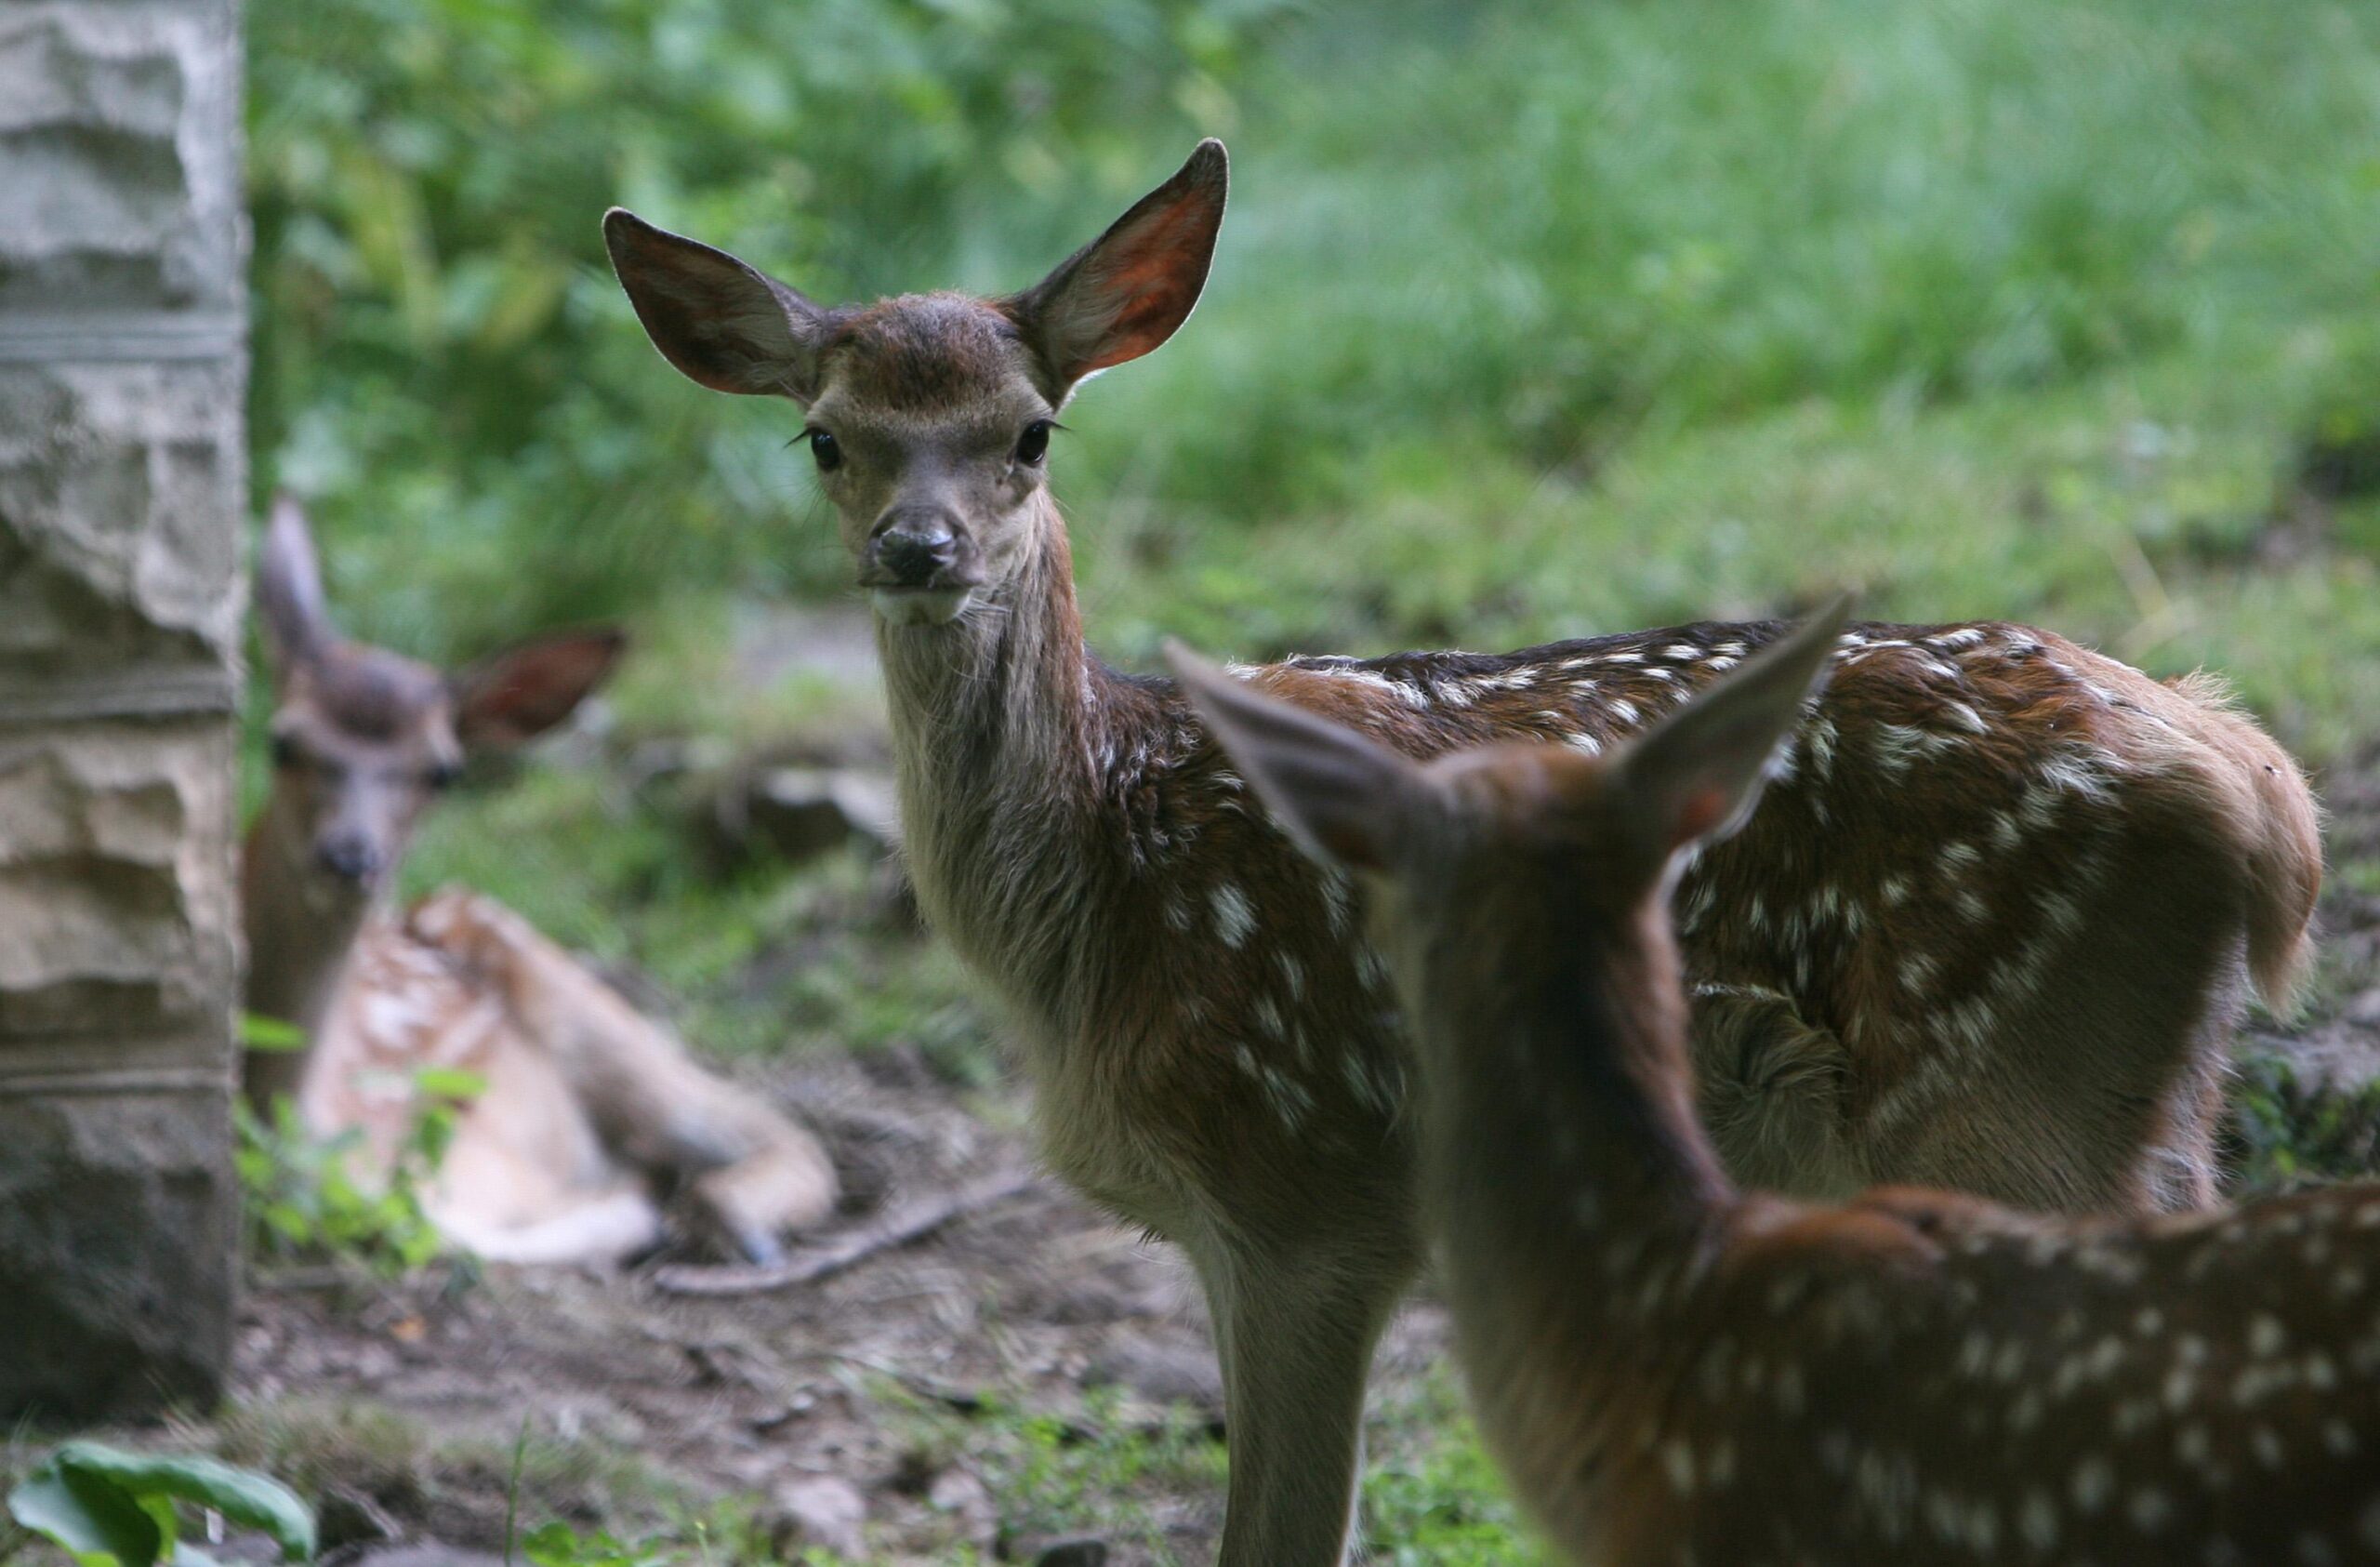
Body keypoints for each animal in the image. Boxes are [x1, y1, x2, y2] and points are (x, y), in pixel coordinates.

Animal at [243, 495, 838, 1267]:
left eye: (443, 770)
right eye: (282, 741)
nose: (349, 858)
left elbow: (449, 1227)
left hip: (576, 1000)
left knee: (770, 1124)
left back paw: (723, 1216)